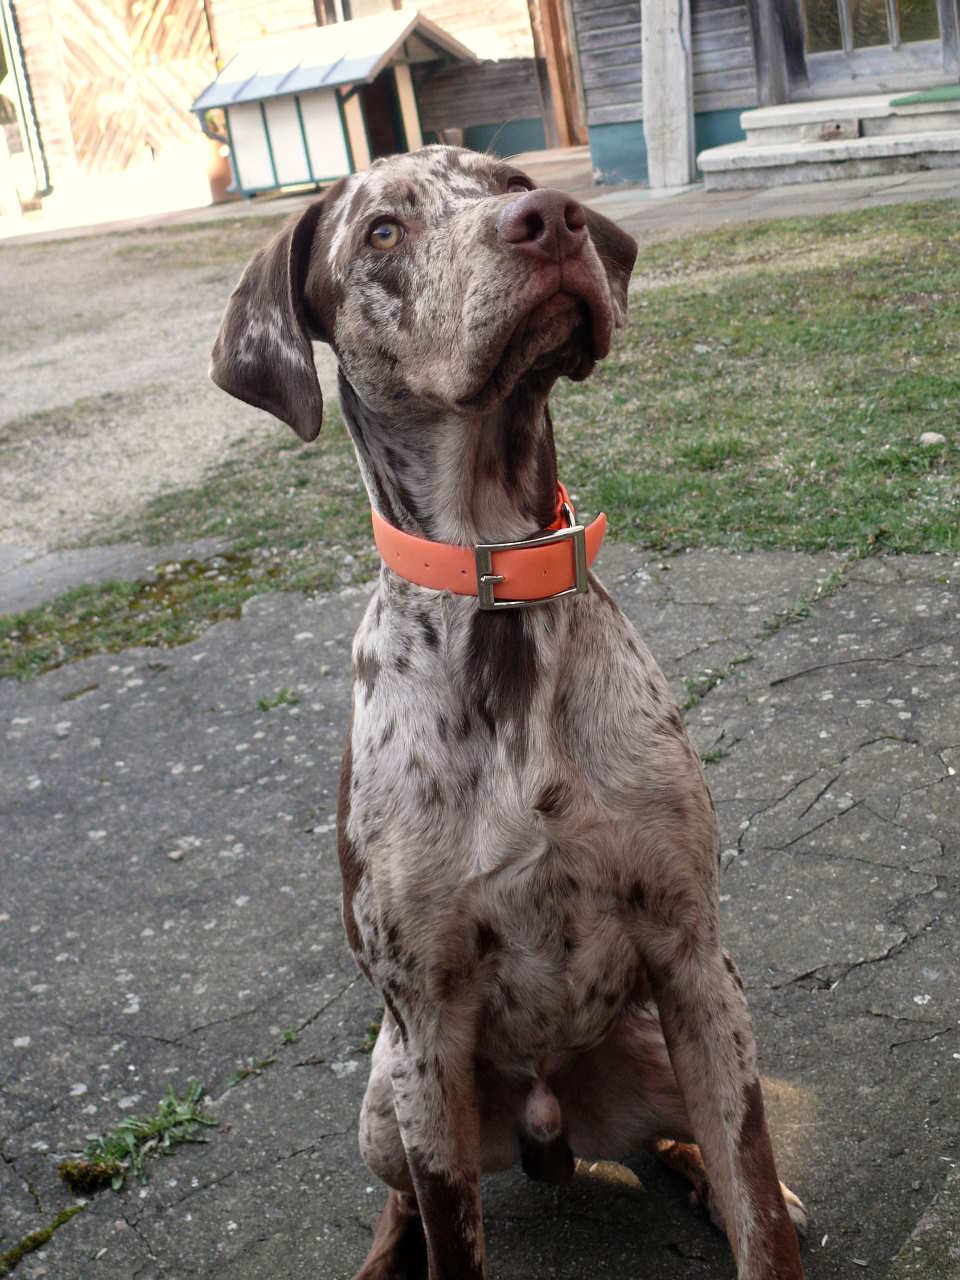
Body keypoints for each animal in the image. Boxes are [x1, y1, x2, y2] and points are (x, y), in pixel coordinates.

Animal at [212, 145, 814, 1274]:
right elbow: (449, 1233)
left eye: (509, 182)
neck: (499, 577)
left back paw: (703, 1175)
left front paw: (752, 1201)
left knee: (682, 1141)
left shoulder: (696, 961)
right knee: (399, 1199)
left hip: (669, 1037)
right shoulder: (428, 1028)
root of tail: (550, 1128)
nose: (554, 219)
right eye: (383, 231)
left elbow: (755, 1199)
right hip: (385, 1099)